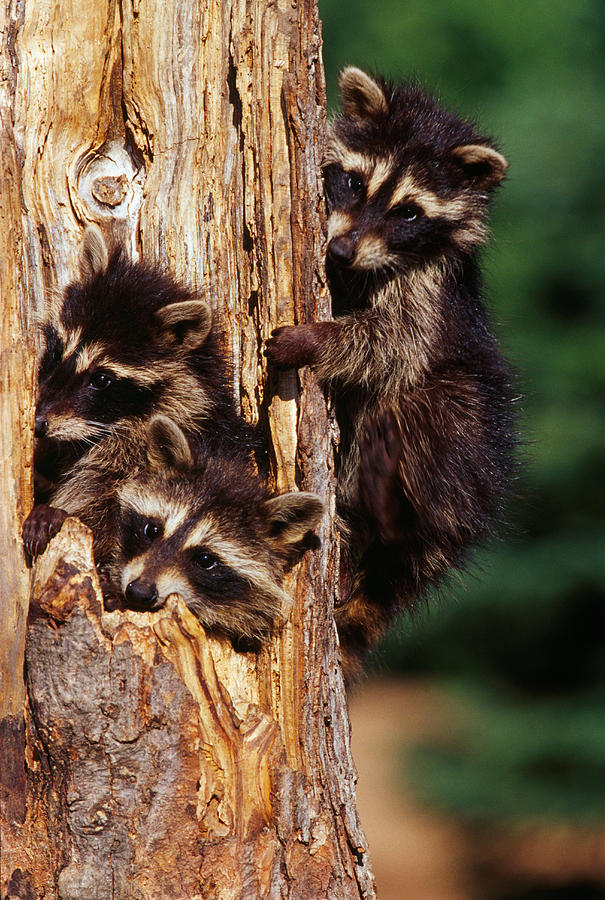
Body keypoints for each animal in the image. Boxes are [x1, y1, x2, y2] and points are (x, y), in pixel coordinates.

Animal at [264, 68, 516, 676]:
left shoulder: (430, 288)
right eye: (354, 183)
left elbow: (395, 345)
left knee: (432, 408)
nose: (341, 250)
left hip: (464, 449)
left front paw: (317, 341)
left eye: (408, 212)